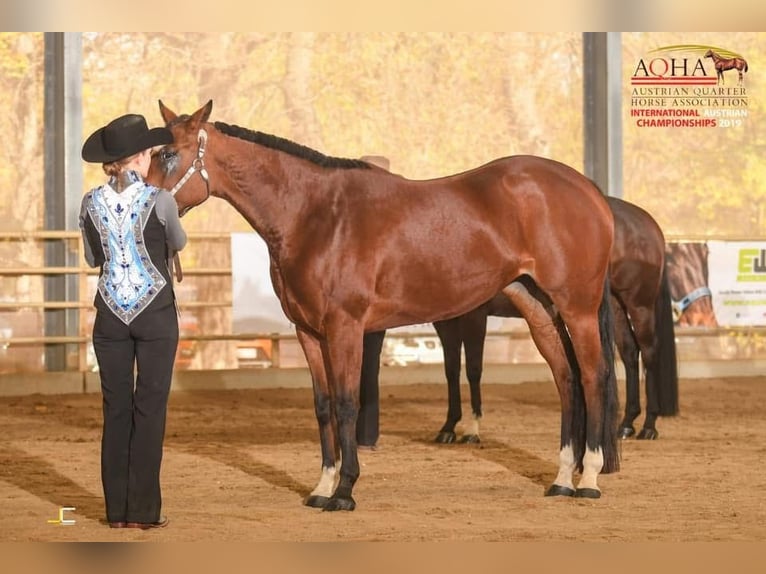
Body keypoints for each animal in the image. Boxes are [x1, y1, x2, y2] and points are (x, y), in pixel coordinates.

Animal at [147, 100, 620, 510]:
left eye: (168, 154)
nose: (143, 205)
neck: (316, 216)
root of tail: (587, 189)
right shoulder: (309, 332)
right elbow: (323, 406)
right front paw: (321, 487)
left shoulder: (346, 327)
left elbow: (346, 403)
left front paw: (345, 491)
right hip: (538, 310)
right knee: (566, 380)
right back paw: (562, 479)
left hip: (577, 309)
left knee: (593, 377)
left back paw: (590, 479)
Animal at [360, 196, 679, 444]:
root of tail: (647, 222)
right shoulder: (447, 322)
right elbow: (451, 370)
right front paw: (449, 426)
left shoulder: (475, 317)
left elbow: (473, 368)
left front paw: (472, 429)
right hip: (613, 307)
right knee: (630, 353)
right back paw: (627, 424)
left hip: (639, 305)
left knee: (650, 354)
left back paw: (649, 426)